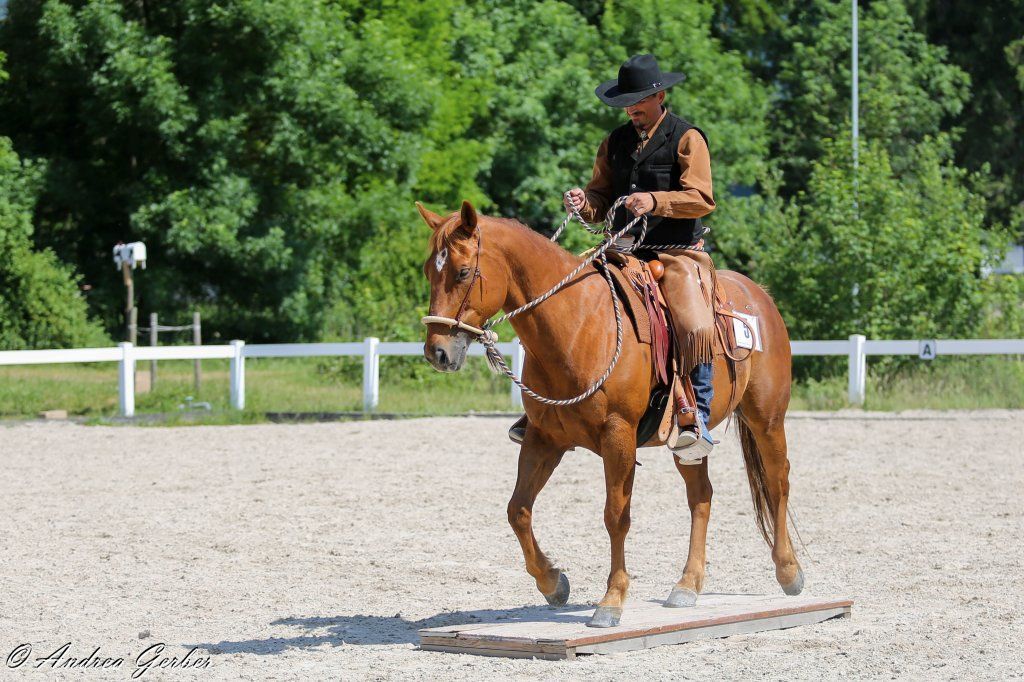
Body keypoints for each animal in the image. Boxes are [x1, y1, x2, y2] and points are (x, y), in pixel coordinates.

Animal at [418, 200, 802, 628]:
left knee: (778, 482)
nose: (437, 352)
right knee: (701, 496)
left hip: (767, 419)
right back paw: (687, 585)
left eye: (463, 271)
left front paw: (611, 600)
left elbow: (616, 515)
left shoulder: (618, 437)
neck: (578, 323)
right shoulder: (544, 438)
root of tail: (758, 296)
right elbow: (517, 510)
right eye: (428, 270)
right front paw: (553, 582)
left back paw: (788, 571)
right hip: (686, 443)